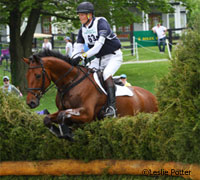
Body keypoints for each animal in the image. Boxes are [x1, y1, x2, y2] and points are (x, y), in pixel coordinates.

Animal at [23, 50, 158, 140]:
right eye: (27, 76)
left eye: (37, 75)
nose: (31, 102)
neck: (71, 82)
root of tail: (152, 96)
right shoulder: (63, 110)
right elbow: (47, 118)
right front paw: (60, 131)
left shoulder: (87, 114)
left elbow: (62, 115)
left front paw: (67, 133)